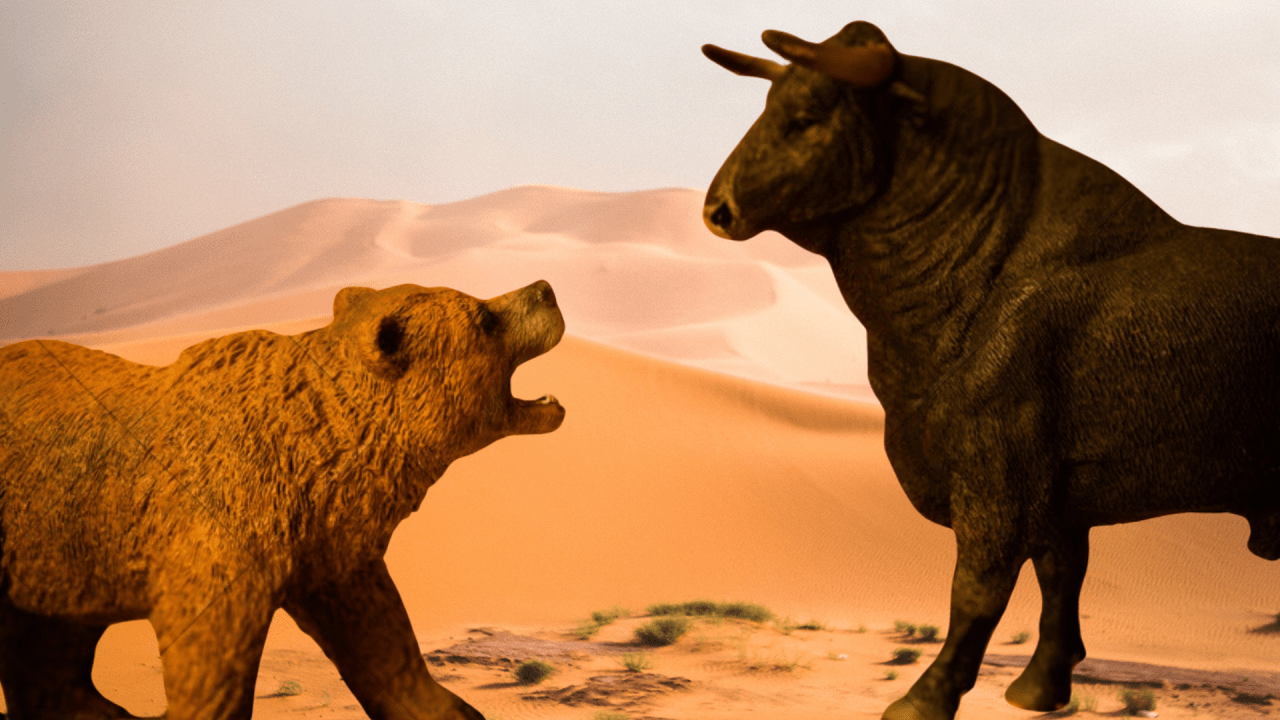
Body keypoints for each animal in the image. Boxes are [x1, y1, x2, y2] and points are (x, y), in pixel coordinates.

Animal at [0, 279, 566, 719]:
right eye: (485, 317)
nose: (545, 289)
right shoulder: (218, 528)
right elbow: (210, 660)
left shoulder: (327, 544)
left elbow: (382, 639)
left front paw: (450, 709)